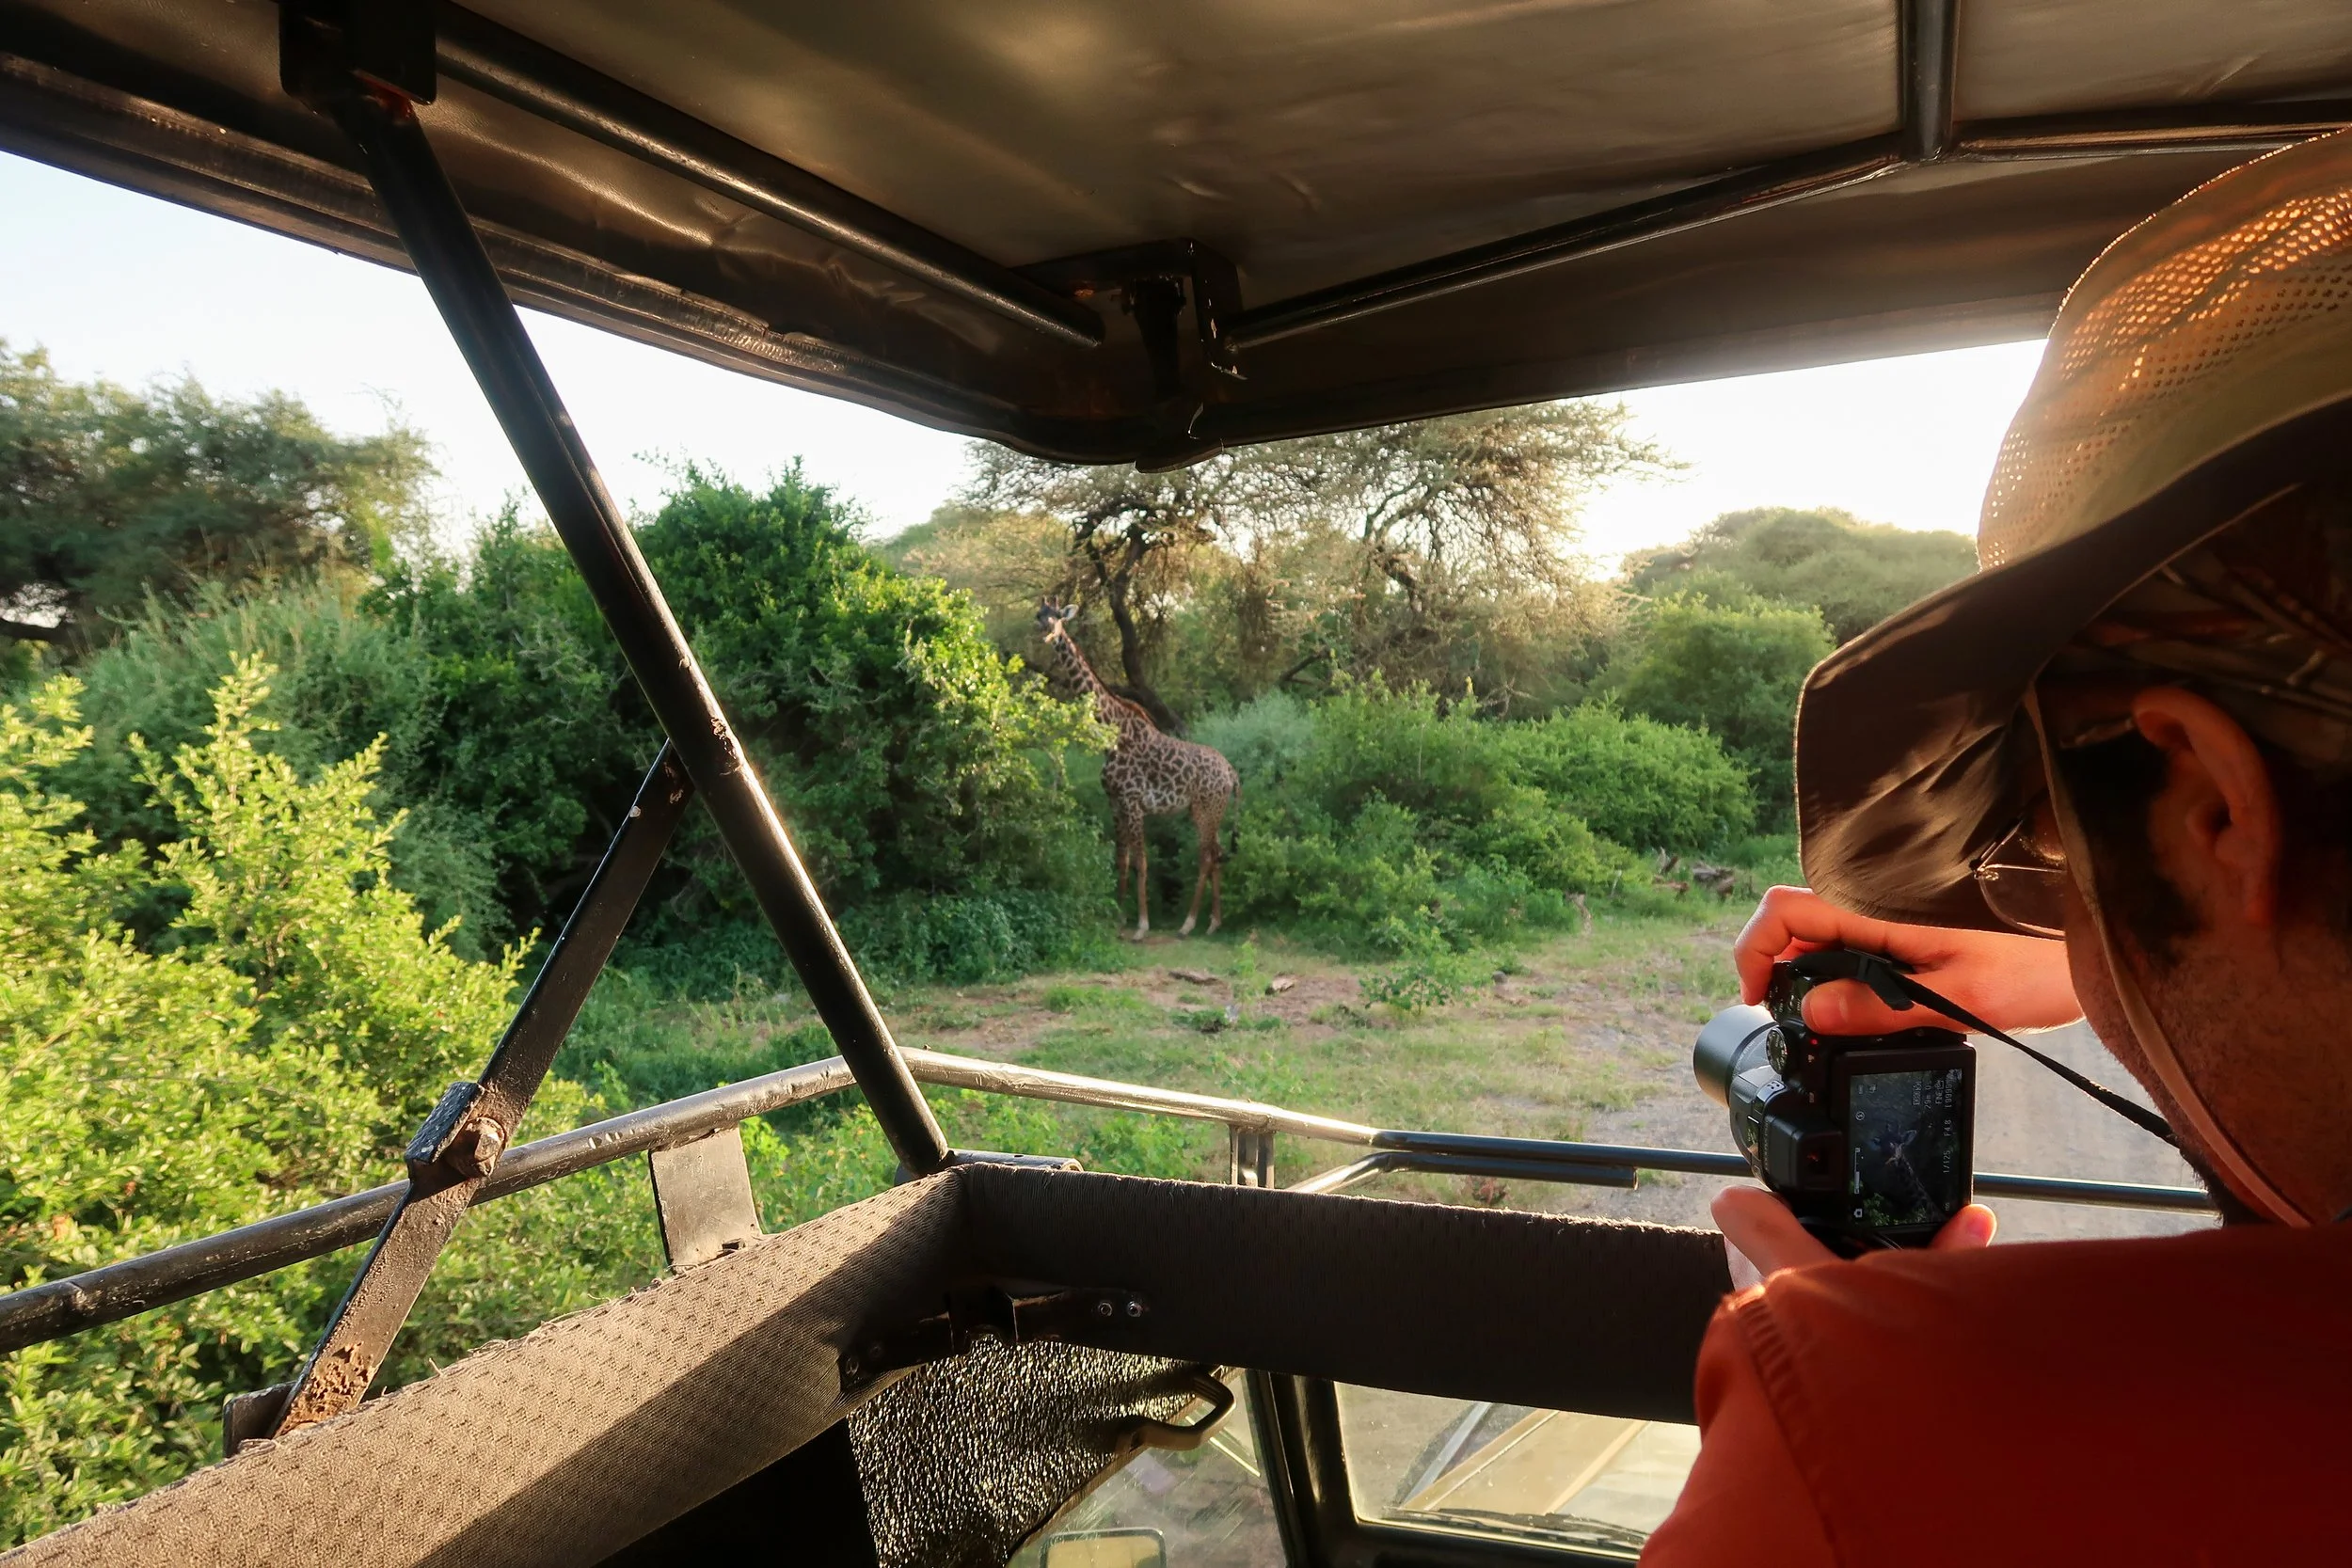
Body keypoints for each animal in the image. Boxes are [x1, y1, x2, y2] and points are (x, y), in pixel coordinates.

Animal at [1037, 602, 1240, 938]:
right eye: (1038, 617)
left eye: (1057, 618)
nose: (1047, 635)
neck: (1112, 734)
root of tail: (1232, 773)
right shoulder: (1115, 802)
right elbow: (1122, 859)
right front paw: (1119, 919)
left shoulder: (1133, 802)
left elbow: (1141, 862)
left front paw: (1142, 926)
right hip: (1209, 811)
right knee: (1217, 853)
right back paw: (1214, 922)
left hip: (1205, 810)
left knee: (1207, 856)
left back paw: (1188, 924)